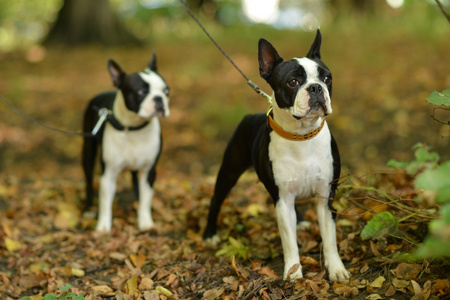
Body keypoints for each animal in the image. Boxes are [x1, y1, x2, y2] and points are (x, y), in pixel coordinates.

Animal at [81, 54, 170, 232]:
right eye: (141, 92)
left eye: (166, 91)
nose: (159, 99)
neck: (133, 128)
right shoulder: (108, 174)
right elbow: (105, 202)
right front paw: (103, 227)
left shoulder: (149, 171)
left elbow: (146, 197)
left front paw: (145, 222)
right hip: (88, 152)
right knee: (88, 181)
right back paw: (88, 209)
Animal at [202, 29, 350, 282]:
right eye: (293, 82)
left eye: (327, 79)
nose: (316, 88)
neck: (301, 136)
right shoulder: (282, 200)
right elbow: (289, 241)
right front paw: (293, 271)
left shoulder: (325, 196)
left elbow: (329, 238)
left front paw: (336, 269)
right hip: (229, 171)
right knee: (216, 200)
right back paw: (210, 234)